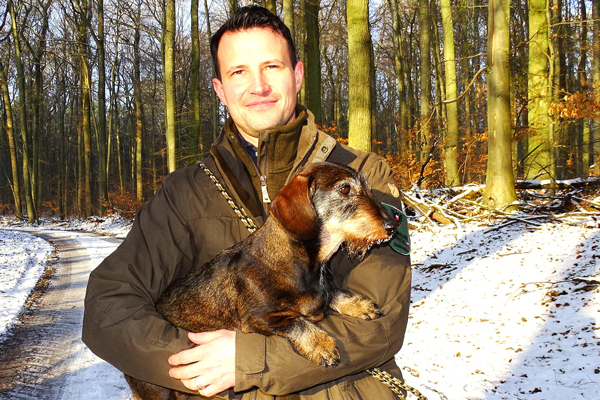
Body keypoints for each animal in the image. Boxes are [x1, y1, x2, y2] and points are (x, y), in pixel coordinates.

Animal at [126, 162, 398, 400]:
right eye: (344, 189)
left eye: (369, 188)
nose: (392, 226)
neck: (302, 261)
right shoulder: (258, 319)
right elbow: (297, 322)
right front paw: (321, 344)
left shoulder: (323, 292)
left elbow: (334, 294)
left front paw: (359, 305)